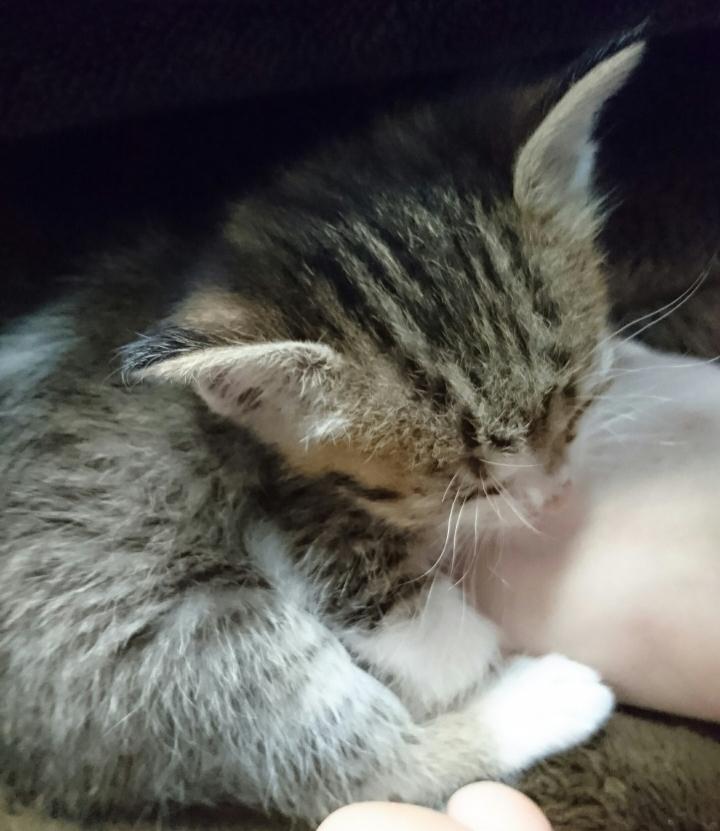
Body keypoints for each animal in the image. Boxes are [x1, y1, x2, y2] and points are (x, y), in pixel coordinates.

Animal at [0, 41, 644, 823]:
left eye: (576, 410)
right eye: (470, 488)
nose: (555, 498)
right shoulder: (255, 498)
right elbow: (363, 582)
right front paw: (456, 647)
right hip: (166, 641)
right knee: (359, 766)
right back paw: (550, 698)